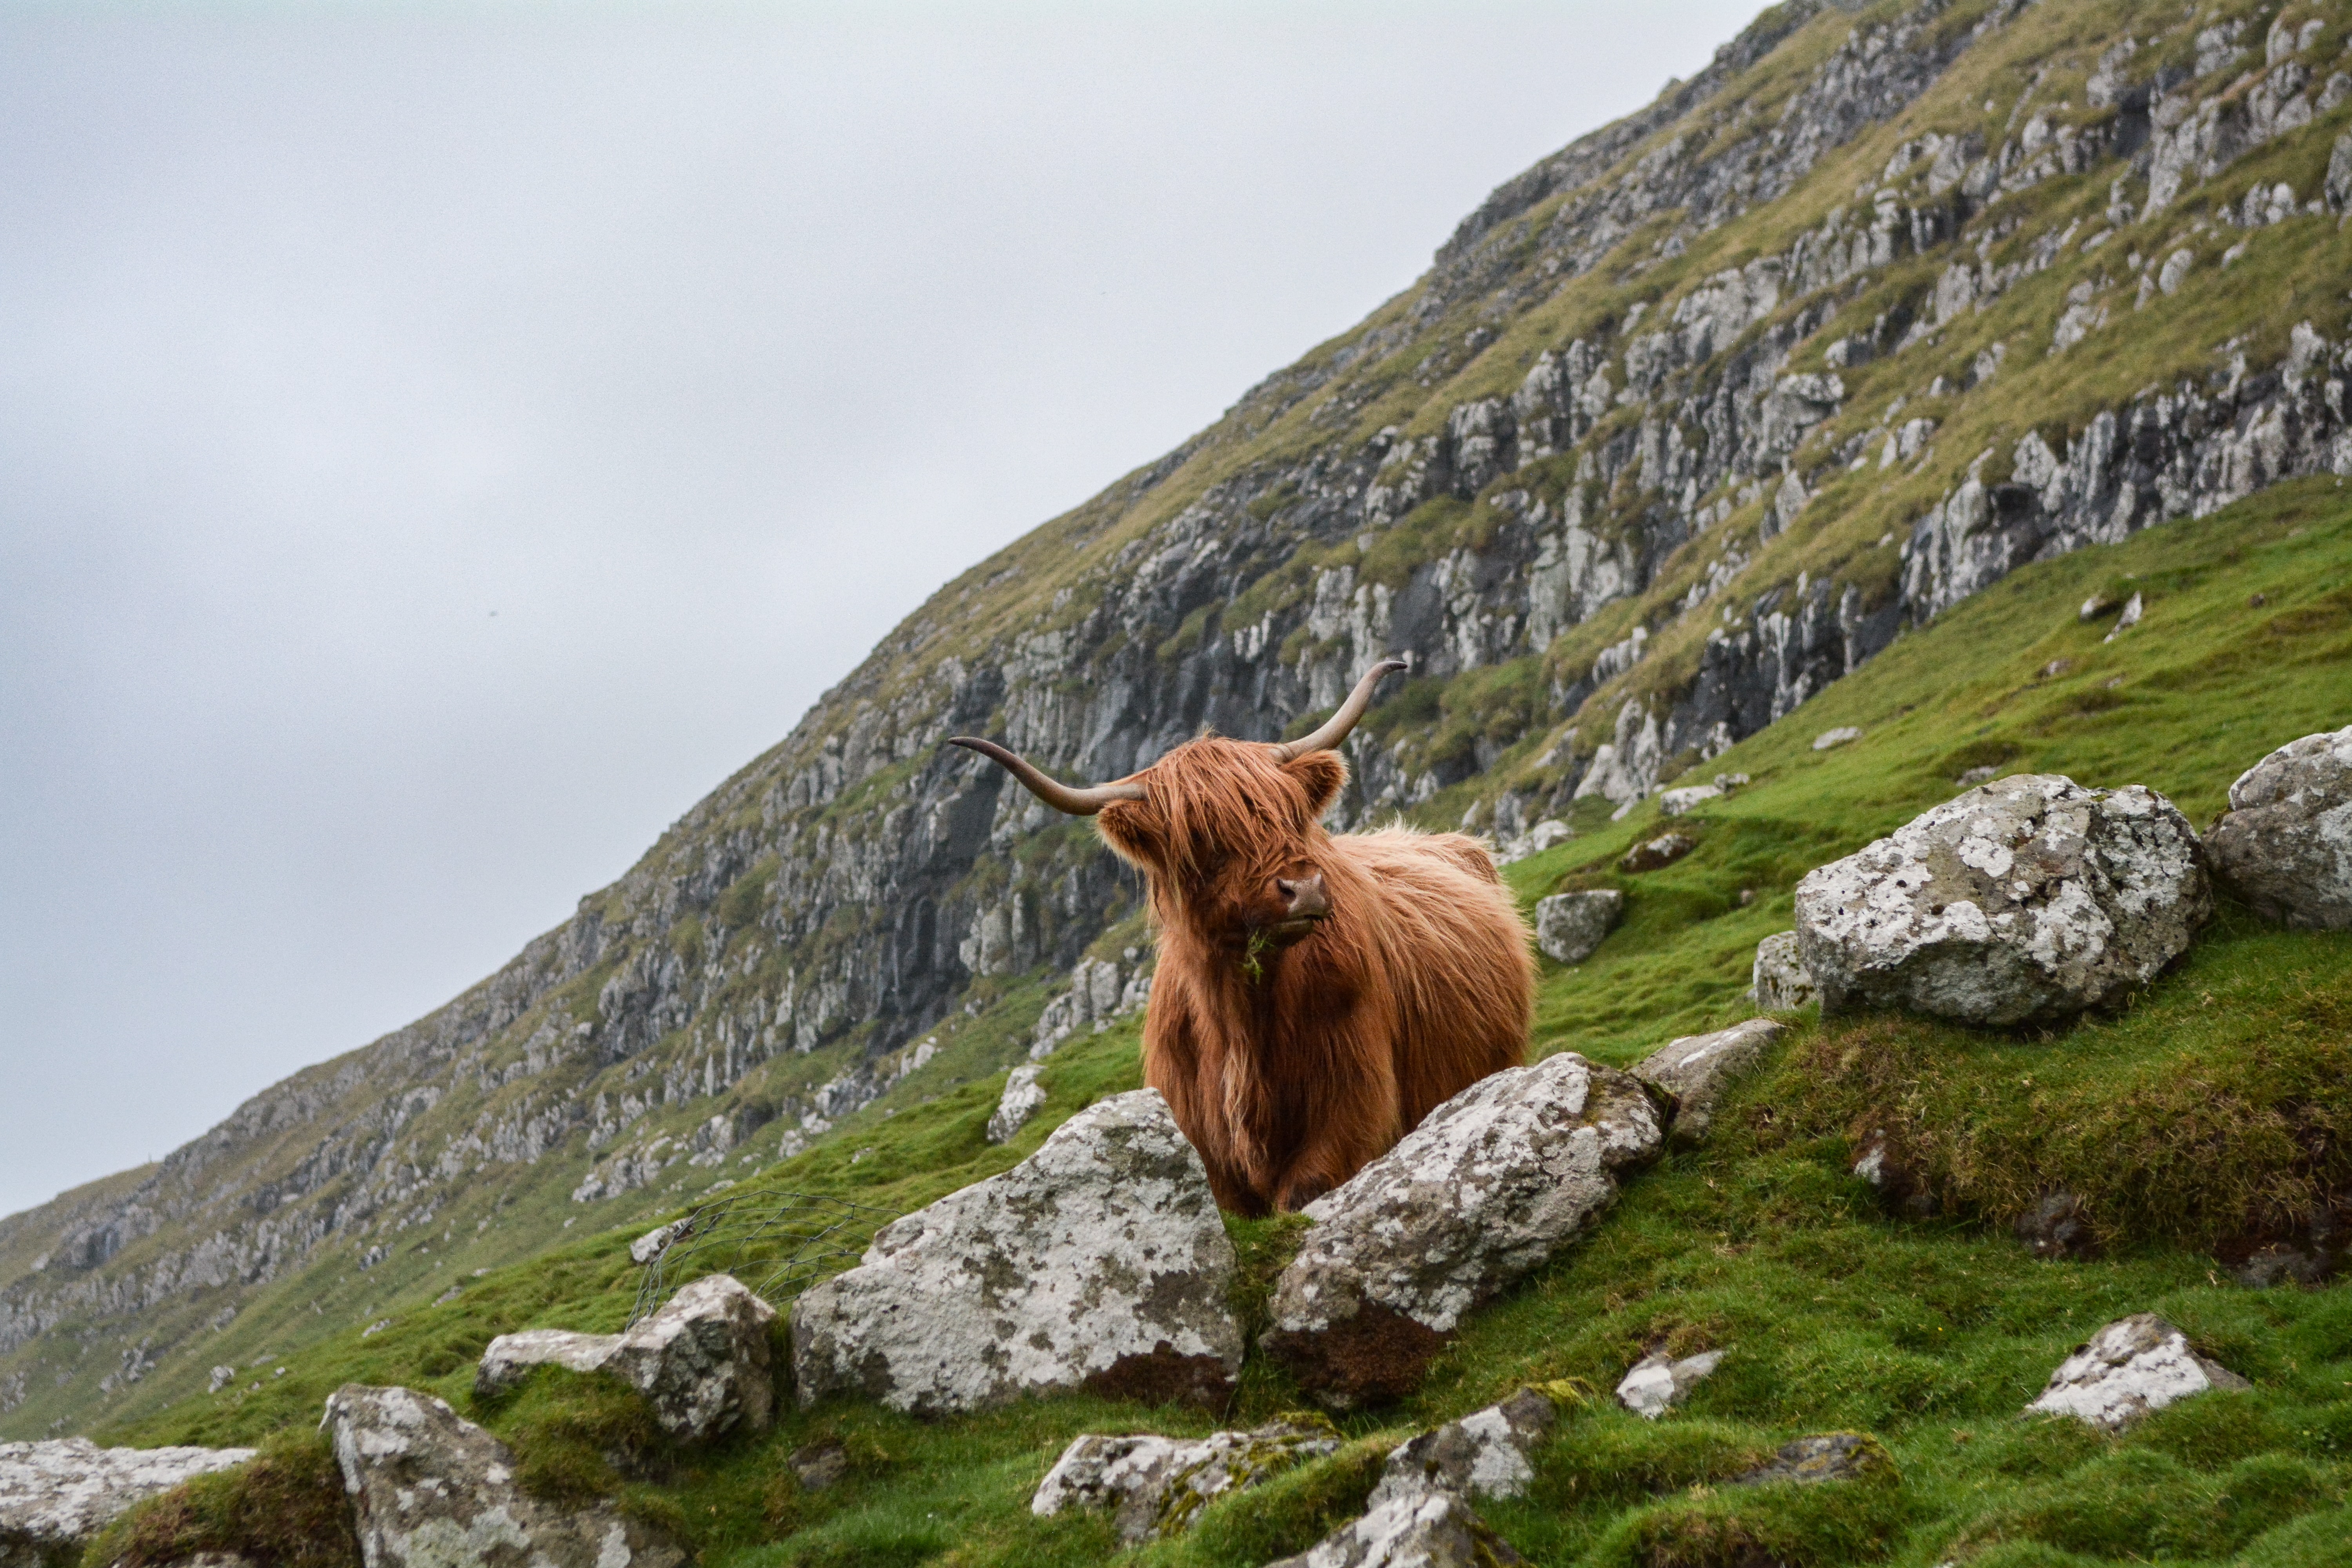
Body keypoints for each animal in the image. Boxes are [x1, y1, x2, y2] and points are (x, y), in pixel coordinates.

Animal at [946, 658, 1534, 1213]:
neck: (1242, 1026)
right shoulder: (1207, 1153)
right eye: (1202, 837)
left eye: (1292, 814)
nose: (1305, 889)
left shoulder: (1352, 1110)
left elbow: (1304, 1191)